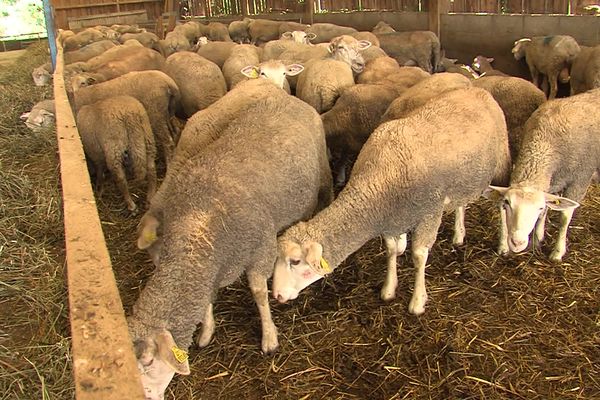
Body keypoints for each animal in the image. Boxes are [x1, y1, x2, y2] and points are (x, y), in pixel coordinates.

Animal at [272, 87, 510, 316]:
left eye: (295, 261)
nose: (277, 296)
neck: (380, 179)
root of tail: (478, 90)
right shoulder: (390, 219)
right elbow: (391, 250)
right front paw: (388, 288)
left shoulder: (429, 213)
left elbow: (419, 257)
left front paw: (417, 301)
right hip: (466, 177)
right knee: (461, 202)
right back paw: (459, 234)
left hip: (501, 163)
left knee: (503, 203)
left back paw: (504, 244)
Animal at [486, 88, 596, 262]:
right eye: (507, 203)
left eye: (538, 207)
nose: (517, 243)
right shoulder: (551, 182)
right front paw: (538, 238)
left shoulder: (580, 179)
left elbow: (564, 217)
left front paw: (557, 252)